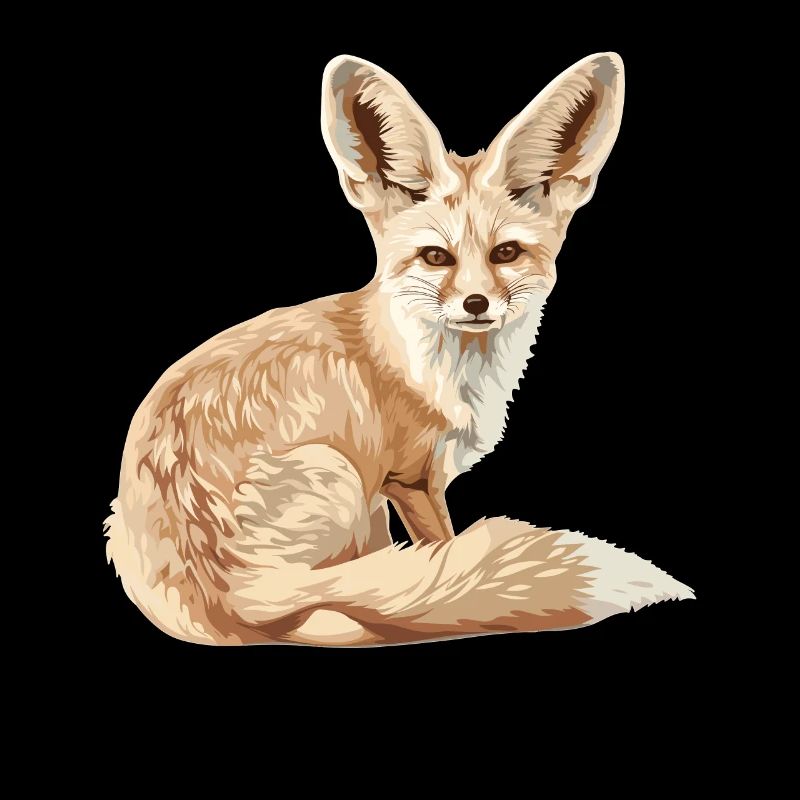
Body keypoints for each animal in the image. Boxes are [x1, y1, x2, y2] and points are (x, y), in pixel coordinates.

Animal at [105, 52, 693, 645]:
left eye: (505, 253)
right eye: (436, 257)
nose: (476, 303)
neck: (431, 368)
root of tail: (219, 598)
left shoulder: (386, 494)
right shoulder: (407, 479)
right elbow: (439, 558)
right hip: (338, 476)